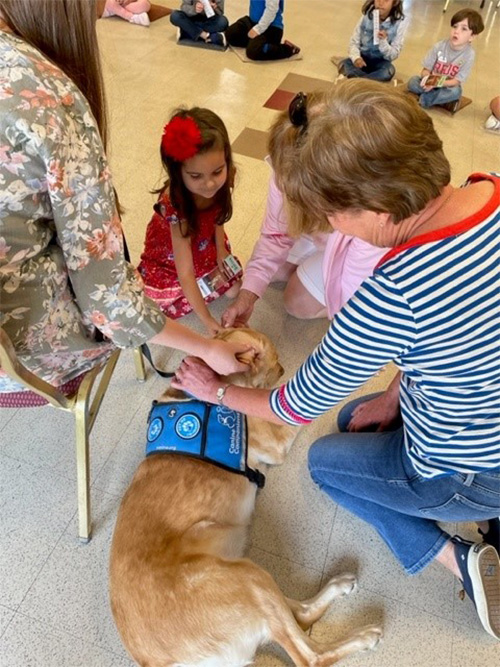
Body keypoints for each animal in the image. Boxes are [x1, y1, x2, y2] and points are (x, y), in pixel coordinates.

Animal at [109, 330, 382, 667]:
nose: (283, 369)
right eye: (275, 361)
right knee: (310, 652)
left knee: (300, 615)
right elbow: (296, 414)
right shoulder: (276, 443)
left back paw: (339, 586)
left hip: (244, 573)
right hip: (247, 578)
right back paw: (363, 637)